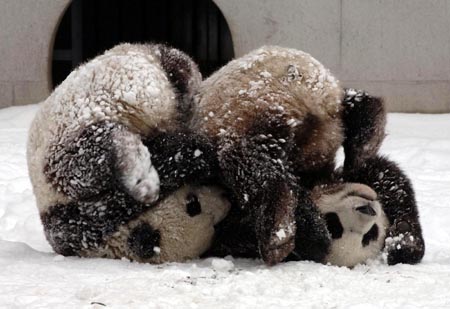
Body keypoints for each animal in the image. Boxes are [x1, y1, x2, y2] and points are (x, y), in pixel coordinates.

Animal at [192, 45, 424, 264]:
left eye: (370, 235)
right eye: (334, 224)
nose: (368, 210)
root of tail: (304, 95)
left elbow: (388, 179)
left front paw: (404, 245)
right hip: (250, 104)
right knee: (247, 156)